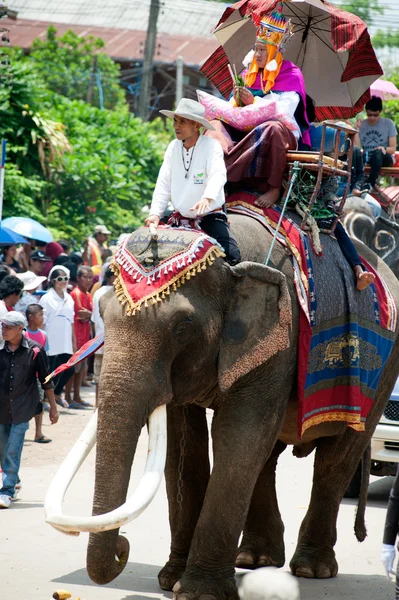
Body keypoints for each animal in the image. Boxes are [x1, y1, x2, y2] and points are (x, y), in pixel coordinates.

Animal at [45, 213, 399, 600]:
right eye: (100, 313)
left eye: (182, 327)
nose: (123, 548)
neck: (232, 260)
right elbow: (185, 447)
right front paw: (171, 580)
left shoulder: (280, 336)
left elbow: (237, 435)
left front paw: (199, 592)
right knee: (266, 458)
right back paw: (256, 560)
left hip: (382, 373)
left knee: (336, 460)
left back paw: (311, 568)